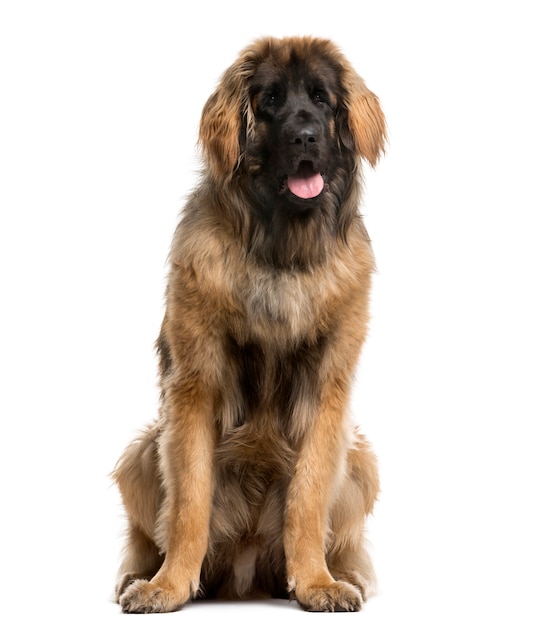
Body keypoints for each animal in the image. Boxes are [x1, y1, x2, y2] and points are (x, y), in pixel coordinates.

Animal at [114, 34, 384, 608]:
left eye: (321, 99)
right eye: (270, 101)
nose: (305, 137)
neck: (282, 250)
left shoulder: (327, 389)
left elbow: (309, 496)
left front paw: (315, 582)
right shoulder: (195, 386)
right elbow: (189, 501)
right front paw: (168, 586)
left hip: (361, 461)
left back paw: (344, 574)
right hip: (141, 453)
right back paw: (140, 576)